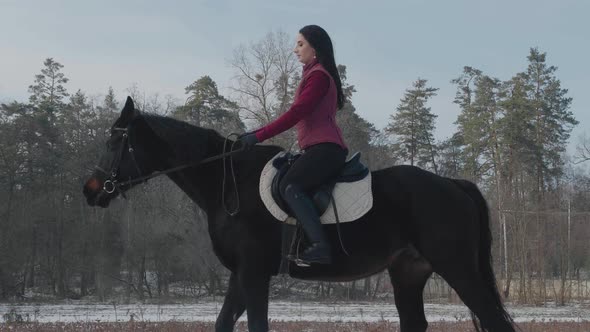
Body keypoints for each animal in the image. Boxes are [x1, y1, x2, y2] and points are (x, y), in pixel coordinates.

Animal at [84, 97, 520, 330]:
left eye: (115, 142)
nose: (90, 189)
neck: (229, 183)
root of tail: (453, 184)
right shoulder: (240, 274)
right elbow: (224, 323)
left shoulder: (254, 273)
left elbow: (256, 324)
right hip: (410, 273)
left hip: (457, 267)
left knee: (493, 319)